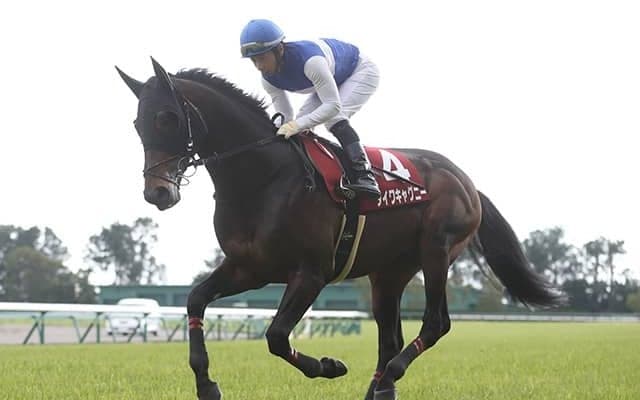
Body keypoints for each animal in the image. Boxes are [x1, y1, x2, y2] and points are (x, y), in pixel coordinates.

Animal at [116, 58, 562, 400]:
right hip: (389, 273)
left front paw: (329, 366)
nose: (157, 192)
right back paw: (380, 388)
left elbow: (276, 336)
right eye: (137, 124)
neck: (263, 179)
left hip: (437, 250)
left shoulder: (311, 273)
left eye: (168, 118)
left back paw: (391, 377)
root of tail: (466, 181)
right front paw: (207, 385)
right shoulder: (249, 268)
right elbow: (194, 301)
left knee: (435, 324)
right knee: (389, 340)